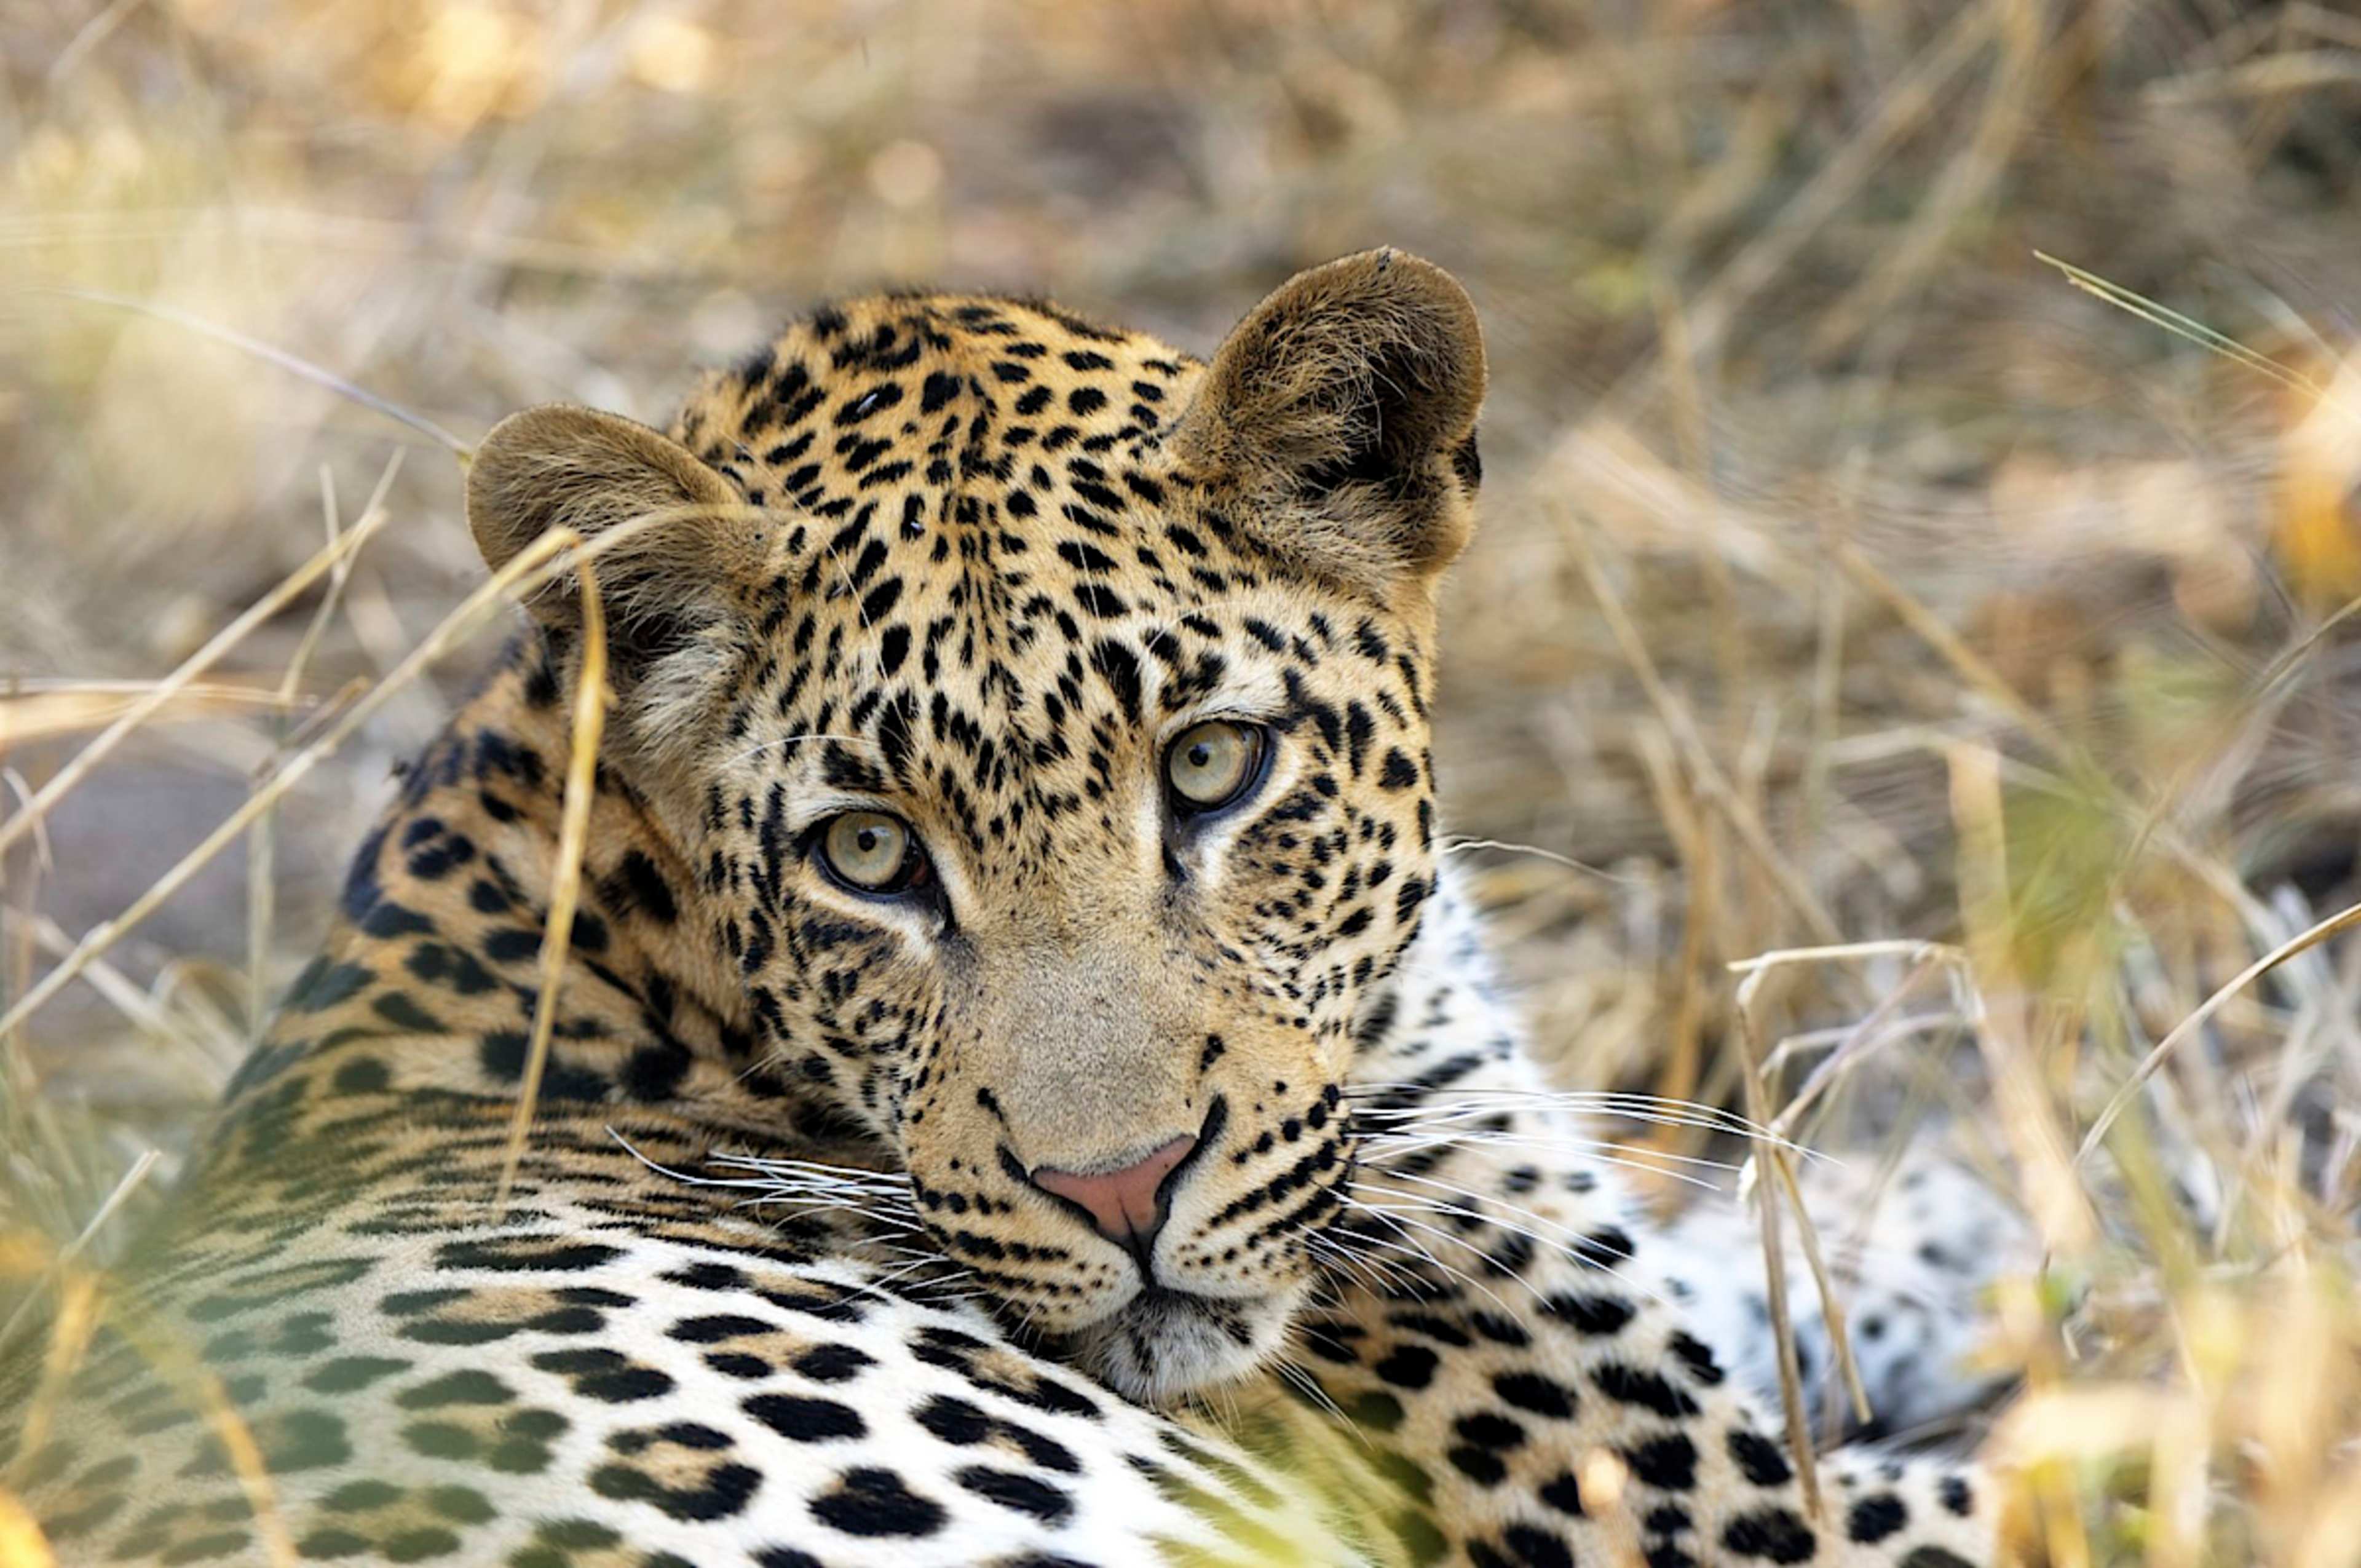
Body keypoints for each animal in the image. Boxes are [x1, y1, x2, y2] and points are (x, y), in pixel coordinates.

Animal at [1, 249, 2019, 1567]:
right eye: (867, 856)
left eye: (1208, 766)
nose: (1121, 1192)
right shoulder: (1704, 1510)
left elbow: (1756, 1248)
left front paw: (1955, 1208)